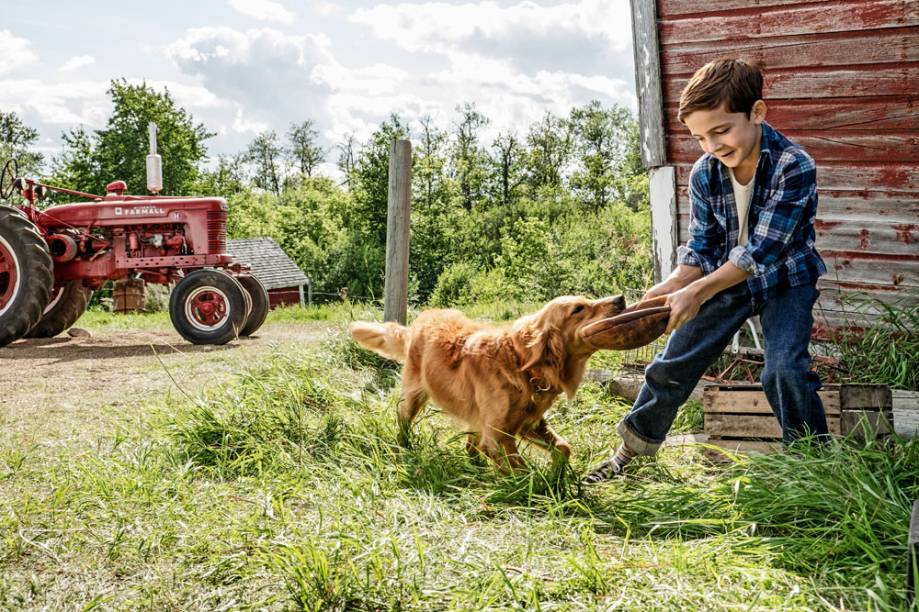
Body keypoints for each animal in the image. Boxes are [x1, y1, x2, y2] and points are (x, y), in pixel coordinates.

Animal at [348, 296, 628, 468]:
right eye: (578, 309)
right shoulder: (498, 436)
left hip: (476, 416)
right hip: (412, 399)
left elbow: (564, 447)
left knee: (470, 446)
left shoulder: (529, 424)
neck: (522, 367)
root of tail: (420, 320)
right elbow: (522, 471)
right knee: (404, 424)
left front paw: (558, 476)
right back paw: (404, 447)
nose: (620, 299)